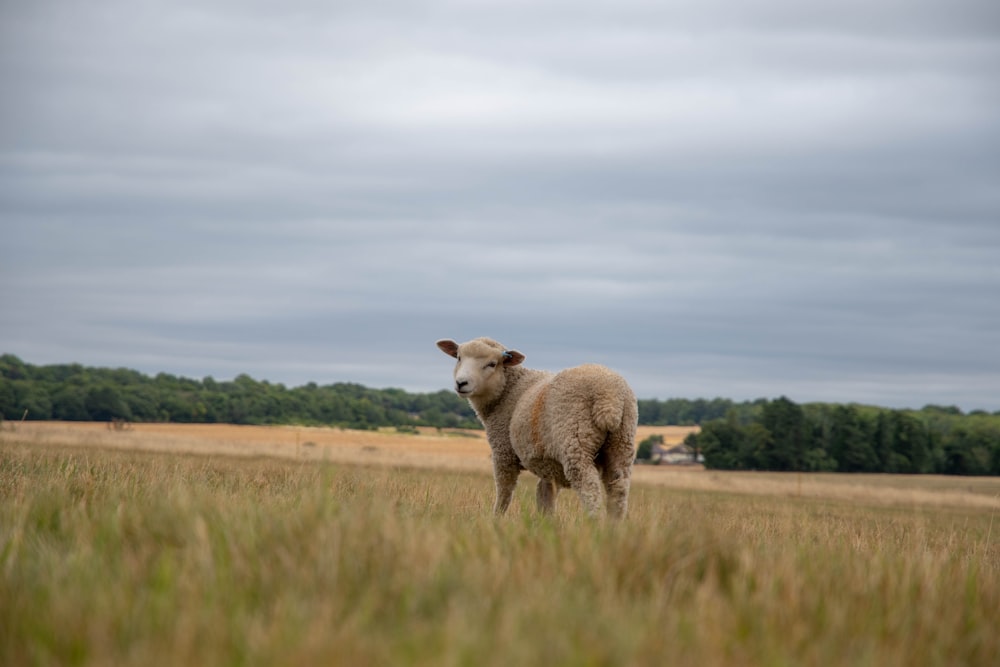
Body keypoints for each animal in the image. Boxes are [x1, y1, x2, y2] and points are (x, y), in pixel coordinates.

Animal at [434, 336, 636, 520]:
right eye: (459, 357)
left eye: (492, 364)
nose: (461, 383)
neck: (507, 391)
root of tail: (609, 395)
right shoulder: (549, 467)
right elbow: (544, 497)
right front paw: (546, 525)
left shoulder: (503, 452)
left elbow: (504, 493)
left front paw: (496, 520)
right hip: (621, 442)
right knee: (618, 488)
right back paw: (614, 527)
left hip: (576, 441)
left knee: (588, 486)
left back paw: (595, 524)